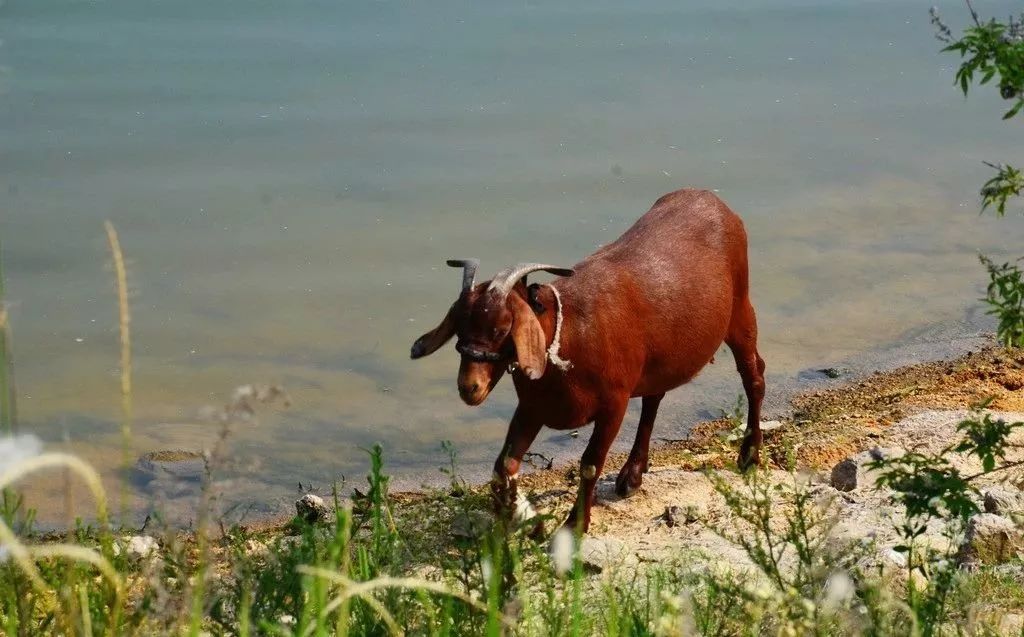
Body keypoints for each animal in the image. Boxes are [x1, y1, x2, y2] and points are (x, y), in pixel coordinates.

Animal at [411, 188, 765, 532]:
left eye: (501, 328)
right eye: (459, 327)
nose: (469, 387)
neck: (568, 338)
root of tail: (710, 197)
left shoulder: (613, 405)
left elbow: (589, 465)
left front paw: (575, 525)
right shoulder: (532, 407)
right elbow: (503, 466)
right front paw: (511, 518)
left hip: (740, 309)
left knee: (754, 375)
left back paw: (749, 455)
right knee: (654, 398)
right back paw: (632, 475)